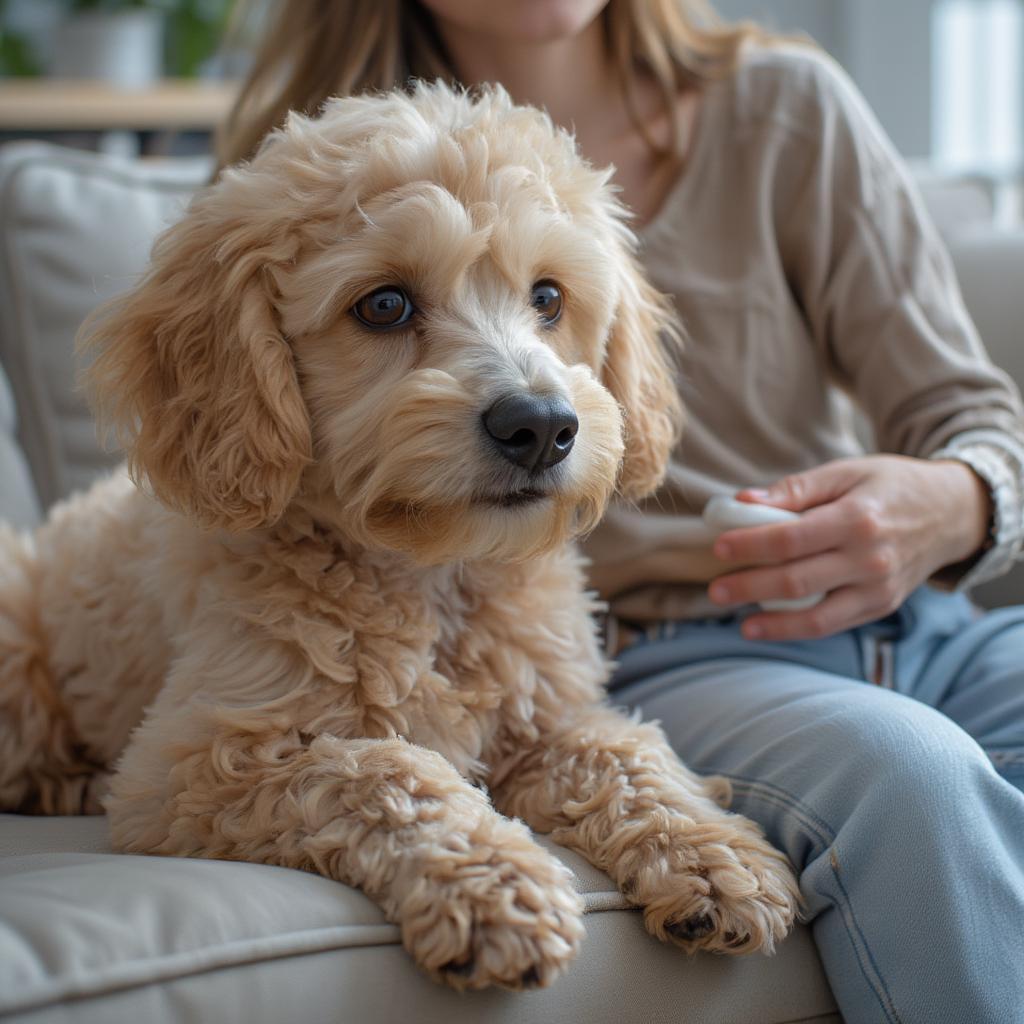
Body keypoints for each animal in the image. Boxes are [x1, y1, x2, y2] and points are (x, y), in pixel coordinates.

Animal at [0, 81, 794, 991]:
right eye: (383, 305)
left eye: (549, 298)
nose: (542, 426)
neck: (433, 575)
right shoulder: (189, 768)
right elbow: (384, 767)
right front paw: (497, 887)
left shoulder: (552, 715)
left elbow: (625, 752)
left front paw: (713, 855)